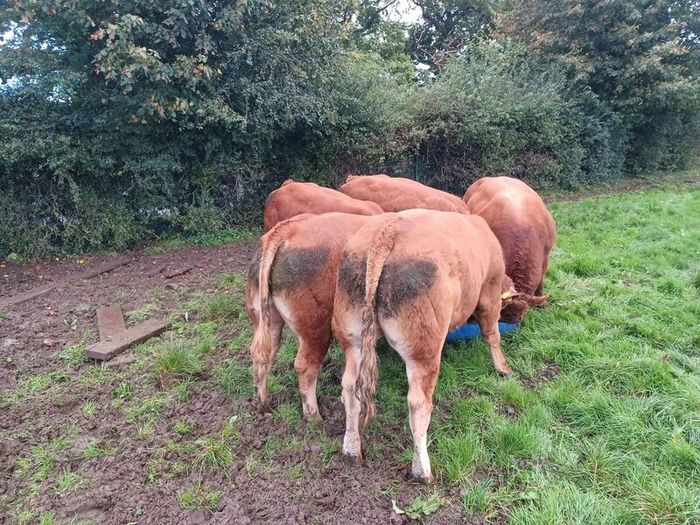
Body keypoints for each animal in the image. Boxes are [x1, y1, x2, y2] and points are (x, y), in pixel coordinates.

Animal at [246, 212, 374, 421]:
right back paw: (315, 417)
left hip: (264, 319)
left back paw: (265, 406)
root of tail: (285, 230)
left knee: (263, 355)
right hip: (316, 327)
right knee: (304, 366)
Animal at [332, 209, 515, 482]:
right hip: (423, 349)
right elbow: (492, 333)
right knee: (418, 404)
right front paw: (503, 368)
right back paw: (422, 470)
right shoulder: (489, 290)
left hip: (352, 338)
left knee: (350, 387)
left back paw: (351, 449)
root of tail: (387, 230)